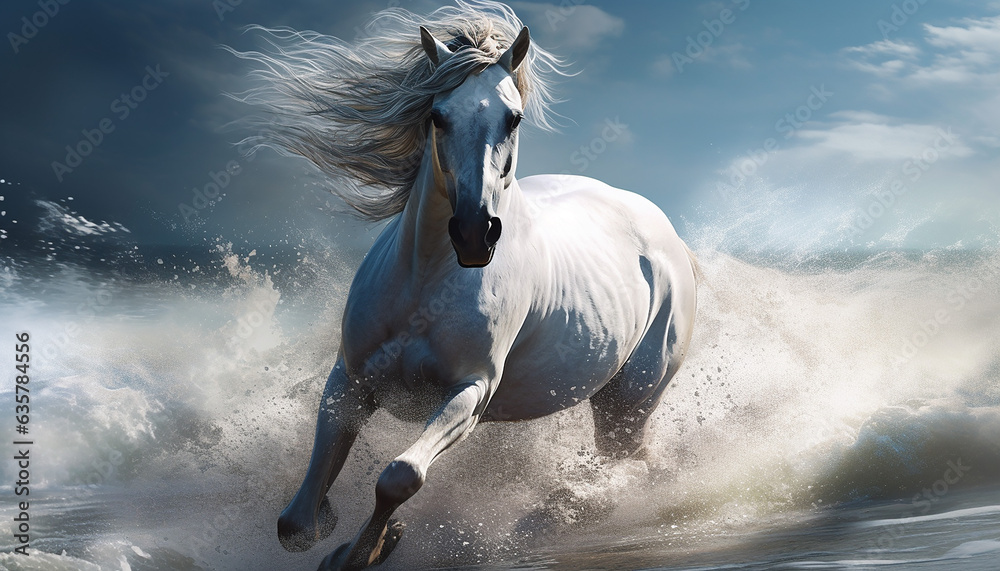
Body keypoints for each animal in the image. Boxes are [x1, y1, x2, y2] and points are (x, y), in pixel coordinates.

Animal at [232, 2, 698, 569]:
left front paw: (373, 547)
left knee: (632, 468)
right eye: (437, 115)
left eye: (513, 118)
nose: (475, 232)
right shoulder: (350, 380)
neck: (426, 285)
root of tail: (667, 238)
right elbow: (296, 525)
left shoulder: (469, 392)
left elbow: (400, 477)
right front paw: (335, 529)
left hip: (627, 406)